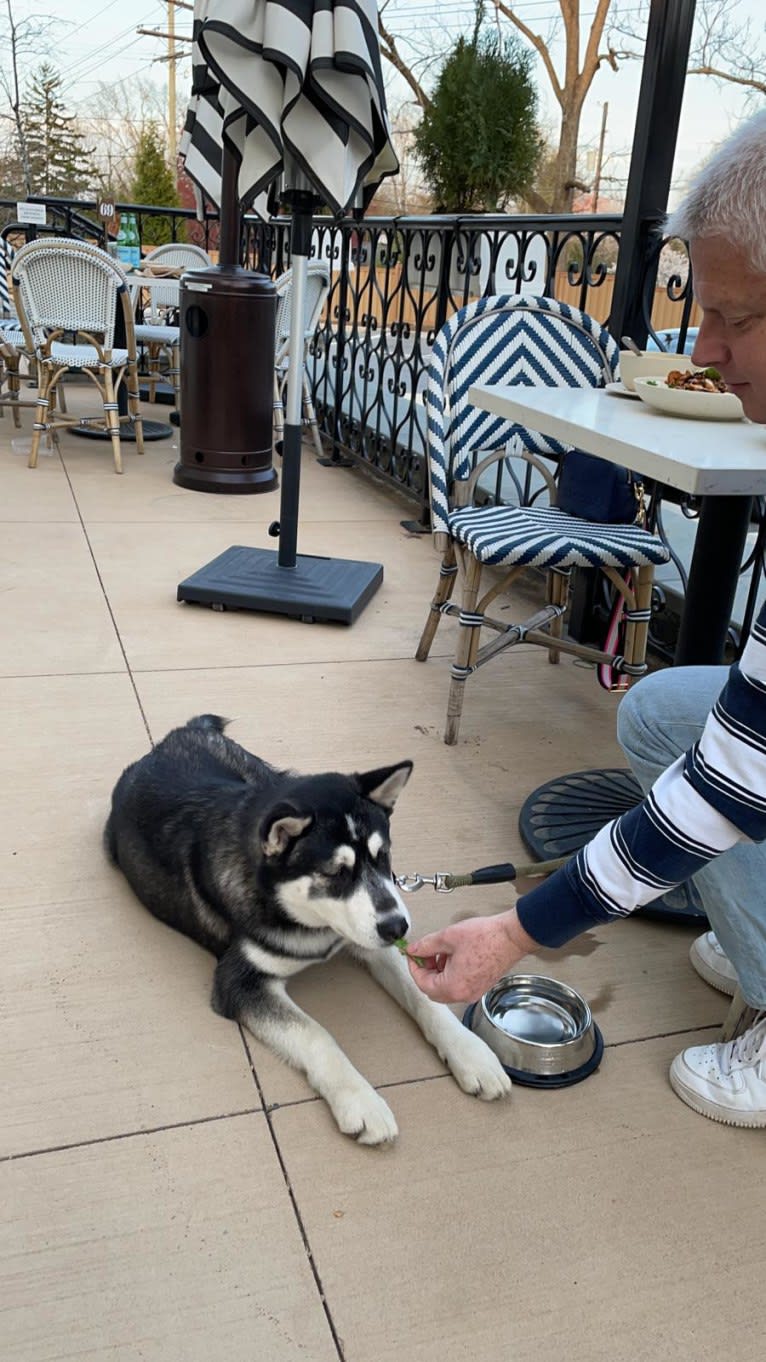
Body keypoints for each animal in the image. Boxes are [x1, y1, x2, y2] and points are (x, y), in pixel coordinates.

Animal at [104, 719, 509, 1144]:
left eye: (383, 856)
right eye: (335, 873)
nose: (397, 925)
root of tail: (179, 733)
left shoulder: (369, 937)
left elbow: (422, 994)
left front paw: (471, 1051)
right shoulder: (240, 981)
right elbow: (316, 1034)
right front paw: (362, 1102)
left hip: (261, 773)